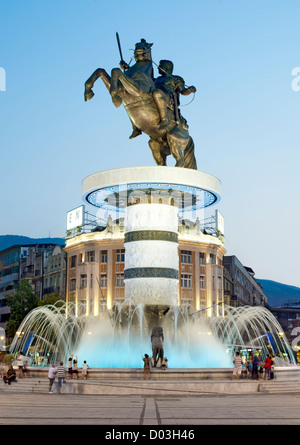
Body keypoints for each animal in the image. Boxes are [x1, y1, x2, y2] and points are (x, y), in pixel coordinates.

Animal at [84, 38, 197, 169]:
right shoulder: (121, 88)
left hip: (174, 140)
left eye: (147, 46)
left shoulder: (137, 90)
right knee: (163, 162)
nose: (139, 50)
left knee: (181, 162)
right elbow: (101, 71)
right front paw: (88, 92)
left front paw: (115, 98)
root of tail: (187, 133)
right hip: (156, 144)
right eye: (137, 44)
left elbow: (116, 71)